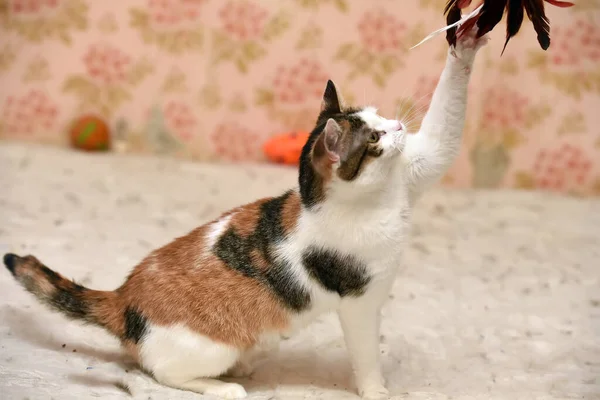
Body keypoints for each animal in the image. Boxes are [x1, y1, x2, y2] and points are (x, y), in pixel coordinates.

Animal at [3, 28, 488, 400]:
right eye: (373, 138)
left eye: (379, 117)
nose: (399, 126)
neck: (376, 200)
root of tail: (122, 298)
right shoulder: (359, 304)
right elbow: (366, 355)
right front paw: (376, 391)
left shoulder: (419, 167)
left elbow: (443, 133)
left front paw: (466, 41)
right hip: (208, 346)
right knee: (154, 373)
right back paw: (224, 385)